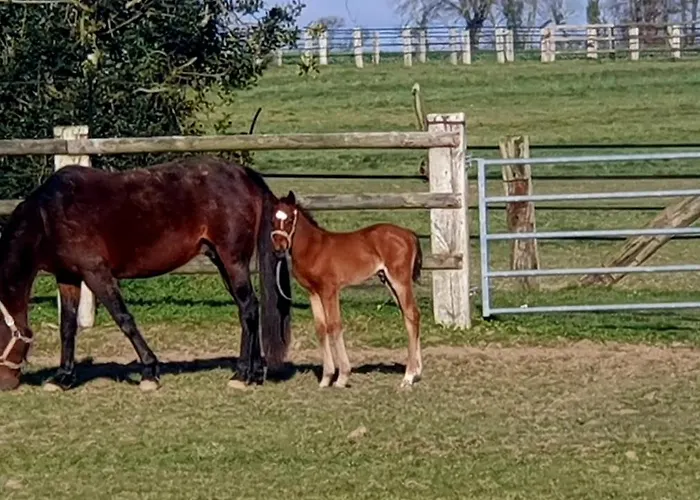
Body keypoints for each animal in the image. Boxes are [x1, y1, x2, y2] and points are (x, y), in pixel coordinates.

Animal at [0, 155, 292, 392]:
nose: (6, 383)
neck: (48, 215)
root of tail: (244, 174)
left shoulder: (96, 273)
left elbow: (124, 319)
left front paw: (150, 372)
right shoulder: (68, 277)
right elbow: (68, 326)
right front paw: (63, 377)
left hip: (232, 260)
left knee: (248, 308)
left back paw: (241, 375)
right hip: (221, 260)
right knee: (249, 307)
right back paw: (255, 374)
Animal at [270, 190, 423, 389]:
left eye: (289, 219)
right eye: (272, 220)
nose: (279, 248)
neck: (313, 248)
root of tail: (409, 234)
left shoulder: (330, 290)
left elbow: (334, 326)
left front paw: (342, 377)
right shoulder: (313, 292)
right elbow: (321, 328)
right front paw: (326, 378)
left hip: (400, 280)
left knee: (412, 314)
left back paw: (408, 377)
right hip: (388, 281)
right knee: (410, 316)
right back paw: (417, 372)